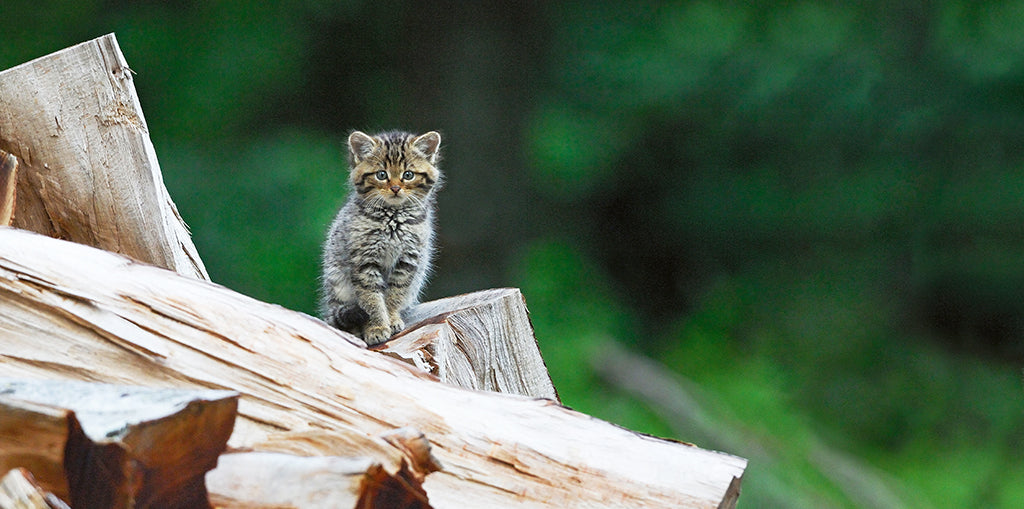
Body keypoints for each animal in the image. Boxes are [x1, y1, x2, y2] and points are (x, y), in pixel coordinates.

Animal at [319, 130, 440, 346]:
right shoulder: (363, 261)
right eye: (381, 175)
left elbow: (395, 294)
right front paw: (377, 327)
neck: (393, 218)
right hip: (337, 283)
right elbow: (371, 298)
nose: (395, 188)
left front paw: (390, 319)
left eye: (408, 175)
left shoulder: (408, 260)